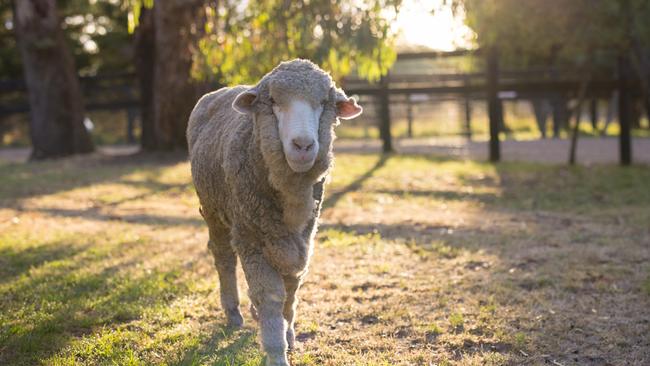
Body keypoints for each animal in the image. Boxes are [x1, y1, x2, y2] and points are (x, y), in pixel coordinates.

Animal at [185, 58, 362, 364]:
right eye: (275, 102)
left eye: (323, 103)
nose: (303, 145)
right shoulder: (251, 236)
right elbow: (270, 295)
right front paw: (277, 351)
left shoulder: (303, 235)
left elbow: (291, 288)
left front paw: (288, 333)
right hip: (214, 210)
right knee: (223, 258)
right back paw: (233, 312)